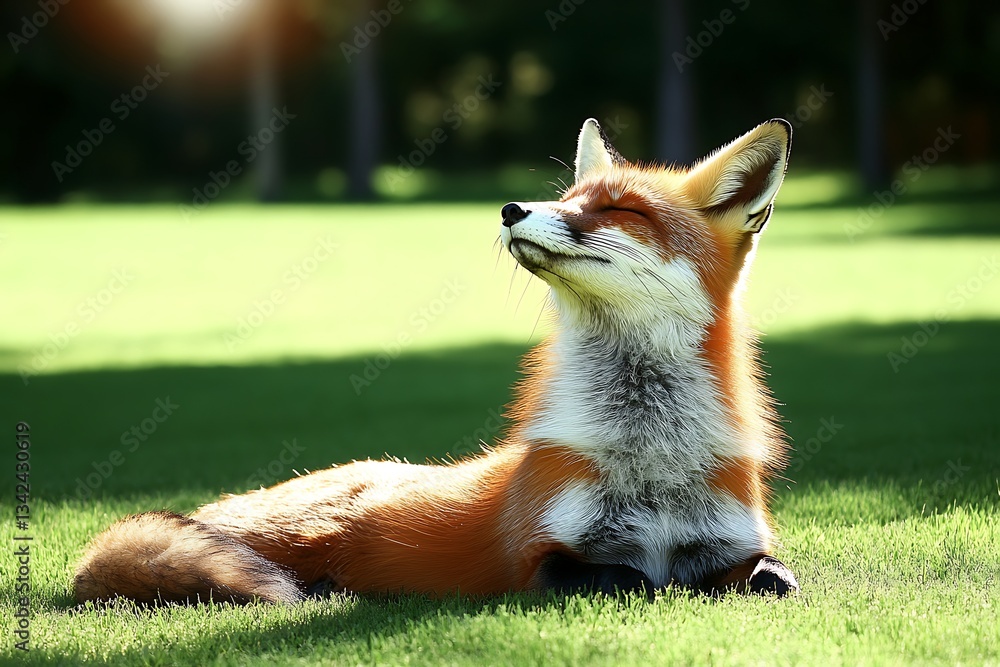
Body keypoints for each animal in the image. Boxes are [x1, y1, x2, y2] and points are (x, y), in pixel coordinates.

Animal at [74, 118, 798, 604]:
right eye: (567, 197)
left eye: (619, 208)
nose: (511, 208)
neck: (652, 456)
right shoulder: (542, 557)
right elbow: (630, 576)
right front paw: (662, 584)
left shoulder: (737, 544)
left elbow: (774, 575)